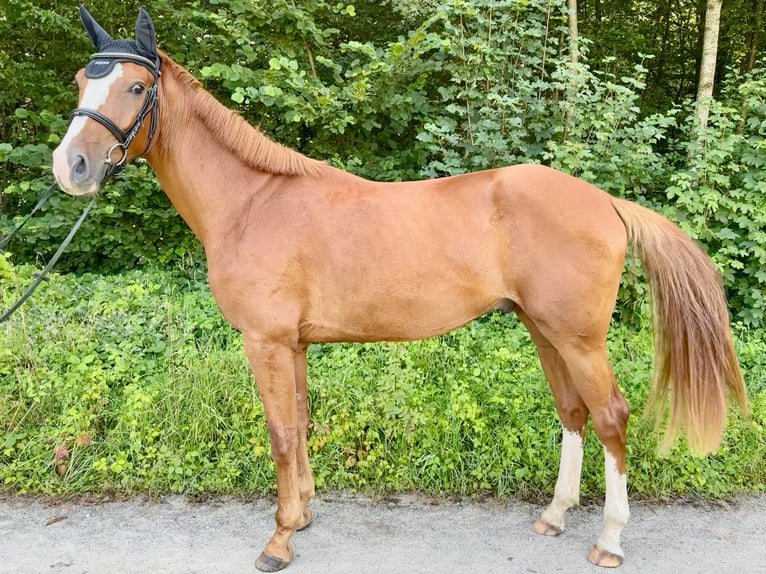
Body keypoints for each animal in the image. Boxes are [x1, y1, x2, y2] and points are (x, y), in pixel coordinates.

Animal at [54, 6, 752, 572]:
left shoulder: (267, 342)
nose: (71, 167)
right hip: (545, 331)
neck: (252, 202)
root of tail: (604, 201)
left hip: (579, 338)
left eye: (136, 86)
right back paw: (553, 516)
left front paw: (278, 540)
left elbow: (279, 433)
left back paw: (609, 541)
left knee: (610, 417)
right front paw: (303, 514)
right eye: (83, 81)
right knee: (573, 414)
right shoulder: (294, 345)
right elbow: (300, 423)